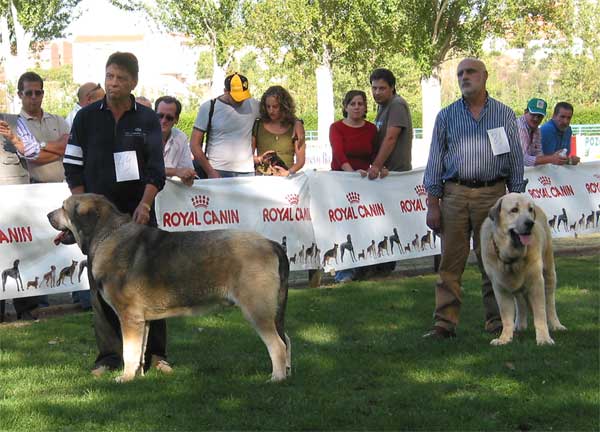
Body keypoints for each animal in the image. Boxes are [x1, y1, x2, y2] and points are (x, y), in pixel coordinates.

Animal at [48, 194, 292, 384]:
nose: (49, 215)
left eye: (64, 207)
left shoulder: (129, 317)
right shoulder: (142, 321)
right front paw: (137, 377)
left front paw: (125, 378)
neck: (108, 234)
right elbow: (139, 350)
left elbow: (129, 350)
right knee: (287, 340)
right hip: (271, 311)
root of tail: (271, 243)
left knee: (278, 345)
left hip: (256, 309)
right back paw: (287, 374)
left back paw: (276, 379)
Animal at [478, 192, 568, 344]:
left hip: (549, 272)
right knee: (520, 302)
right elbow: (506, 317)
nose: (530, 223)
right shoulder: (500, 288)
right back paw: (519, 325)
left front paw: (544, 339)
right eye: (514, 210)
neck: (512, 259)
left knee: (550, 303)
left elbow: (540, 314)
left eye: (530, 210)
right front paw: (504, 338)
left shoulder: (537, 283)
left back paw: (556, 325)